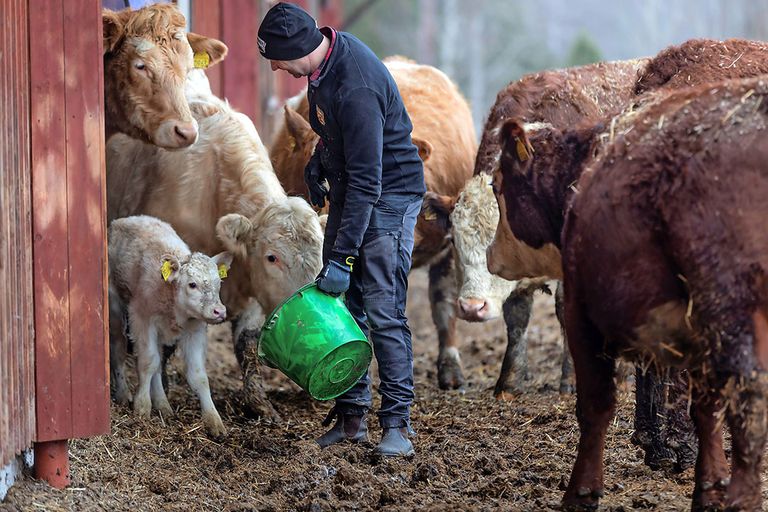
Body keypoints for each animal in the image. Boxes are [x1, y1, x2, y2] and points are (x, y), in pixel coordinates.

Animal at [108, 68, 324, 420]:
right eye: (272, 257)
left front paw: (259, 404)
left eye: (320, 259)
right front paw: (160, 395)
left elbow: (247, 344)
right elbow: (162, 348)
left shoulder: (251, 295)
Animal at [556, 75, 768, 512]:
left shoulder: (579, 315)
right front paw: (709, 486)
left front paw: (581, 491)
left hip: (730, 303)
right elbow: (705, 409)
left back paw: (744, 499)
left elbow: (595, 404)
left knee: (750, 396)